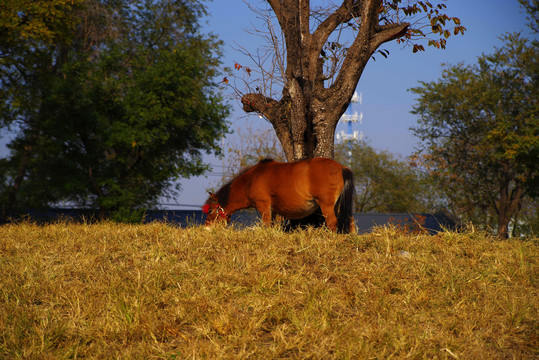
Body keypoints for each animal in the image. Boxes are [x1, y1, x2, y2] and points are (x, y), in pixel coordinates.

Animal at [201, 158, 354, 233]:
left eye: (210, 210)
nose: (206, 228)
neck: (251, 180)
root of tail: (341, 167)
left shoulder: (263, 206)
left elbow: (266, 225)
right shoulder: (273, 210)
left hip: (326, 205)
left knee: (332, 223)